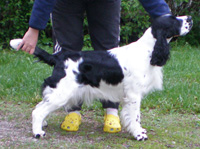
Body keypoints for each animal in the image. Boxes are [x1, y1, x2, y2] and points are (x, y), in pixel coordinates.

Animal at [30, 15, 192, 141]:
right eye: (174, 20)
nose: (190, 18)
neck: (148, 50)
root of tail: (58, 57)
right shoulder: (134, 95)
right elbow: (135, 116)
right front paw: (139, 135)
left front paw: (139, 131)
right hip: (62, 92)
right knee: (38, 111)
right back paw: (38, 132)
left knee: (39, 106)